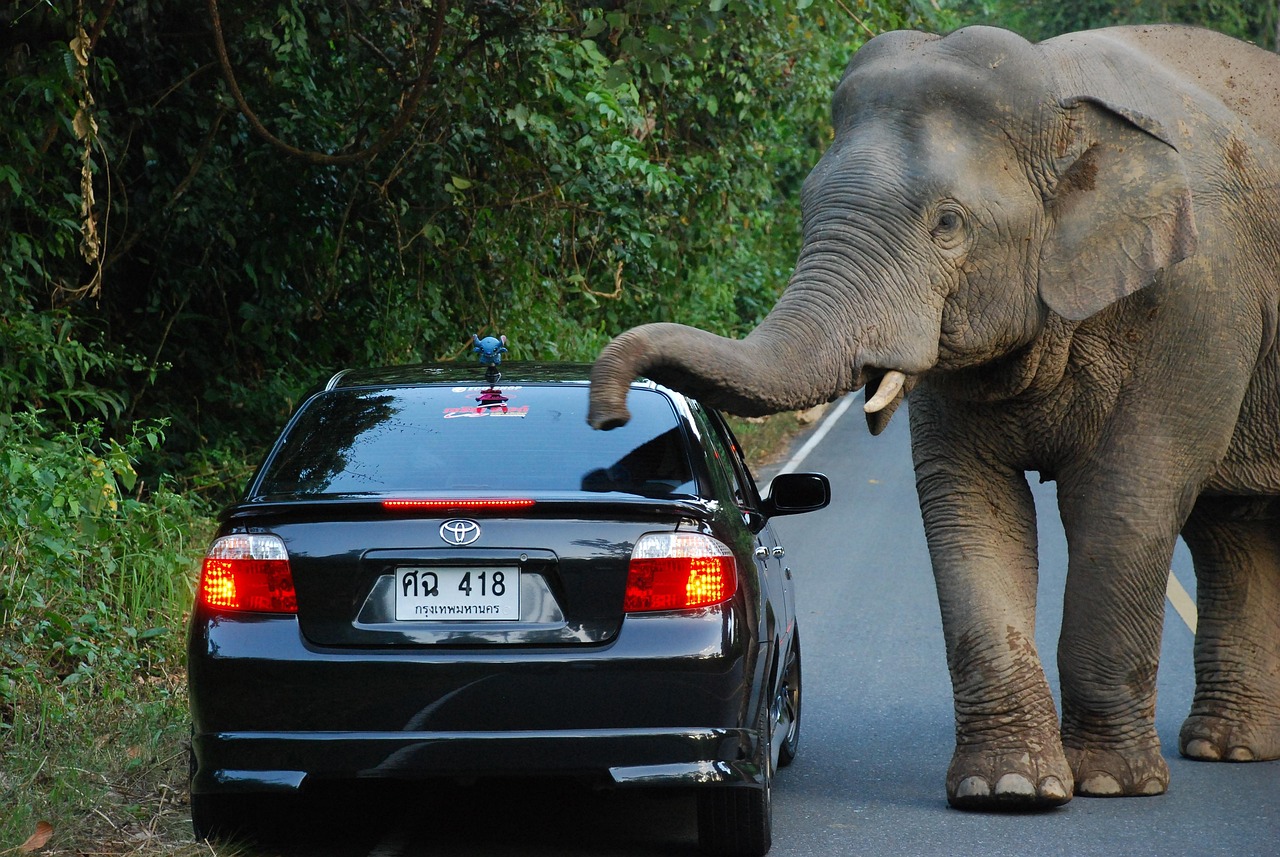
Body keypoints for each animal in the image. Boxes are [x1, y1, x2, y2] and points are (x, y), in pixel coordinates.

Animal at [586, 25, 1280, 813]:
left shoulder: (1199, 304)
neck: (1061, 99)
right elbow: (969, 501)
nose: (606, 413)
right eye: (806, 204)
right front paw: (1008, 789)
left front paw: (1109, 784)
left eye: (948, 224)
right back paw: (1229, 747)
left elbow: (1123, 500)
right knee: (1231, 530)